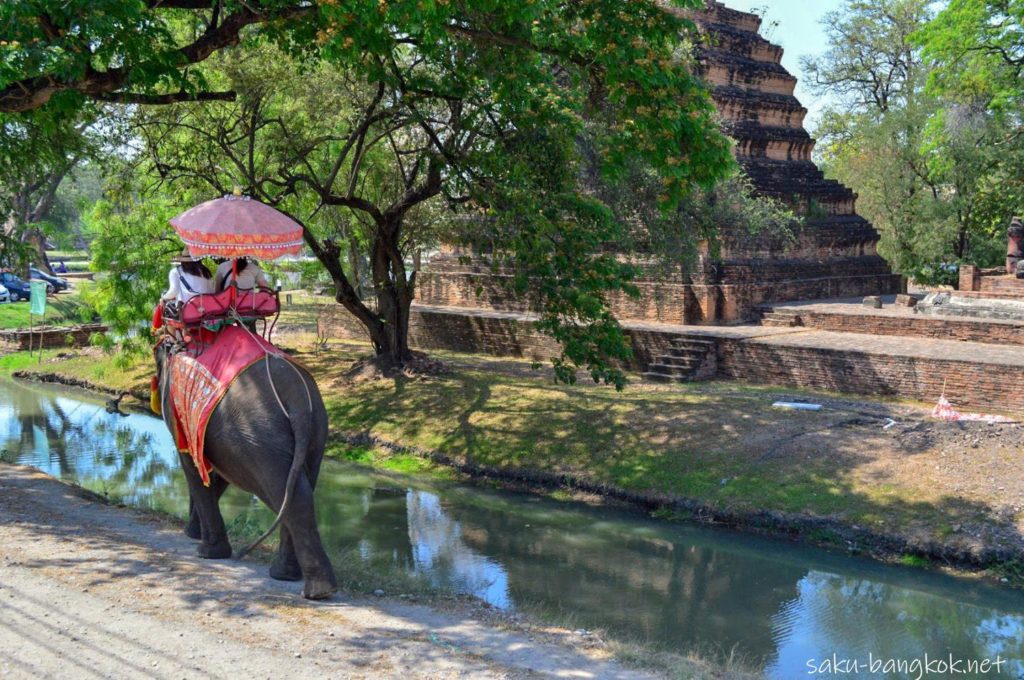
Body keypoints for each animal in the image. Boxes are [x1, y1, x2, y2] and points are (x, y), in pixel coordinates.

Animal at [153, 340, 335, 602]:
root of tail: (298, 399)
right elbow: (217, 476)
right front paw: (193, 534)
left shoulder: (181, 412)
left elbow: (194, 466)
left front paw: (204, 550)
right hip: (314, 432)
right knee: (298, 492)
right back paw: (295, 580)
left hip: (259, 438)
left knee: (284, 492)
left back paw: (314, 589)